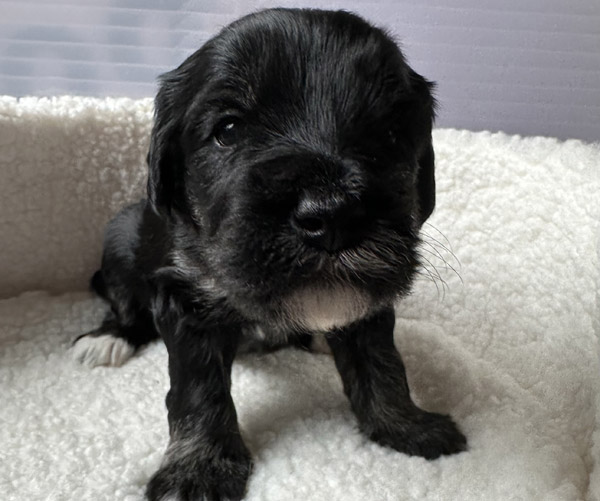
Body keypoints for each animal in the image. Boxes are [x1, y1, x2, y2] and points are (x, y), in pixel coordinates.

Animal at [73, 8, 466, 500]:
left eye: (391, 135)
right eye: (228, 130)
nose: (332, 214)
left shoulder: (370, 299)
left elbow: (382, 363)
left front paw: (406, 425)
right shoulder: (184, 300)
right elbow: (198, 390)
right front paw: (198, 469)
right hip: (120, 238)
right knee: (125, 302)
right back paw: (109, 338)